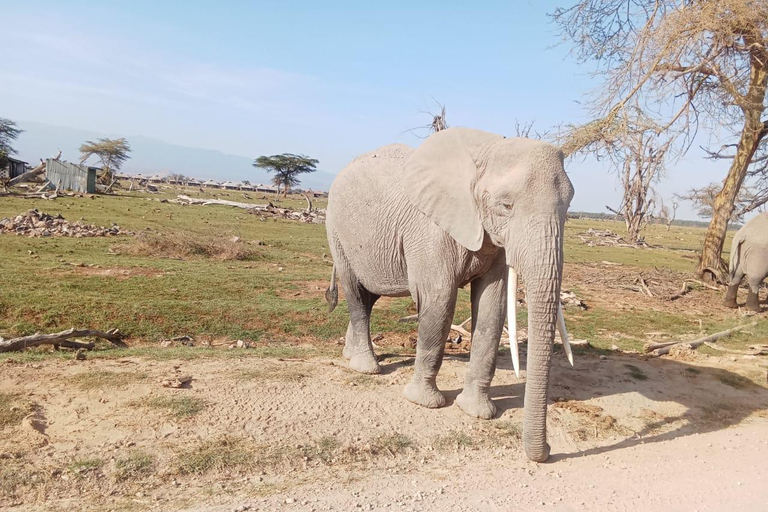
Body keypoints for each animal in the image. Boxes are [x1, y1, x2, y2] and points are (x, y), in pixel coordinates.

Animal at [326, 126, 576, 462]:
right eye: (506, 206)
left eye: (569, 207)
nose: (548, 451)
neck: (489, 146)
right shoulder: (429, 230)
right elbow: (440, 300)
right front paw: (424, 403)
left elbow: (492, 306)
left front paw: (477, 413)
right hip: (336, 229)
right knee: (355, 292)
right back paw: (367, 367)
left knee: (368, 297)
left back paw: (350, 356)